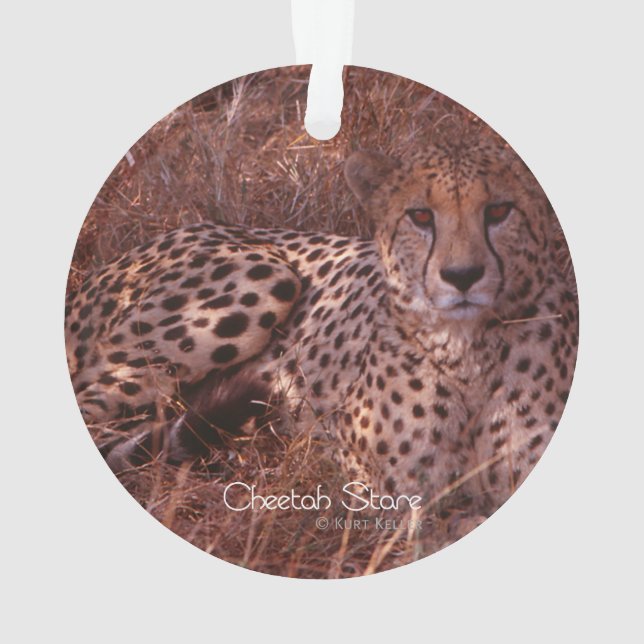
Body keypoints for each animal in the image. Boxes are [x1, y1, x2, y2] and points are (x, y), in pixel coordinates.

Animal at [65, 135, 578, 511]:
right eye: (420, 216)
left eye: (499, 211)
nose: (462, 275)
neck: (468, 352)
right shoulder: (383, 491)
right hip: (264, 277)